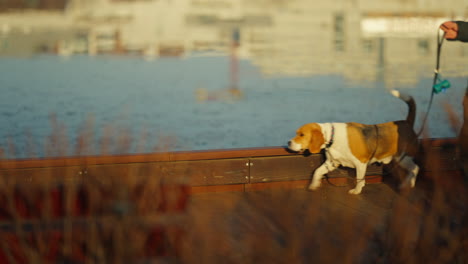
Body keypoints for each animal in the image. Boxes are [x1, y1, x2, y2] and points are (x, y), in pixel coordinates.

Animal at [288, 91, 420, 194]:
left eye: (302, 135)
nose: (288, 142)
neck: (332, 137)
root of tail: (406, 123)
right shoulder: (331, 163)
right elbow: (317, 172)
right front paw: (314, 184)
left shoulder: (361, 163)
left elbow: (359, 178)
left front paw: (357, 190)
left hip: (404, 158)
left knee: (415, 168)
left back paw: (409, 184)